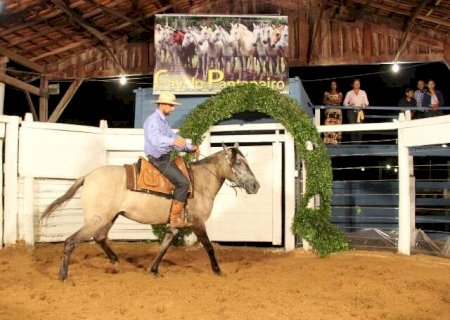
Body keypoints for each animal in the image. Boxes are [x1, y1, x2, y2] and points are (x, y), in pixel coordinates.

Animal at [43, 142, 260, 280]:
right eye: (238, 163)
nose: (255, 186)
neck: (199, 183)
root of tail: (87, 176)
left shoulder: (175, 226)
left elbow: (164, 246)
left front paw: (154, 270)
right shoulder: (198, 223)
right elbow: (209, 247)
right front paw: (217, 271)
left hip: (108, 218)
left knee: (99, 237)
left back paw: (115, 262)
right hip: (97, 219)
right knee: (71, 241)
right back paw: (63, 276)